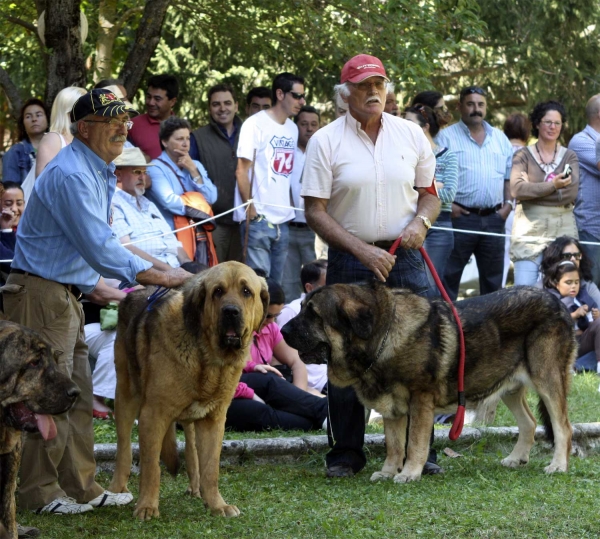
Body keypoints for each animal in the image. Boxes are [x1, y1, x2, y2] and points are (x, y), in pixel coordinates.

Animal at [109, 262, 268, 520]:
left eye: (246, 292)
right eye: (217, 292)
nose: (231, 311)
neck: (208, 357)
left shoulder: (214, 419)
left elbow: (211, 468)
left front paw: (217, 504)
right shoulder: (153, 415)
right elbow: (151, 467)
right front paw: (147, 507)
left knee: (192, 450)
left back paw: (196, 488)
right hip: (126, 395)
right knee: (123, 448)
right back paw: (116, 490)